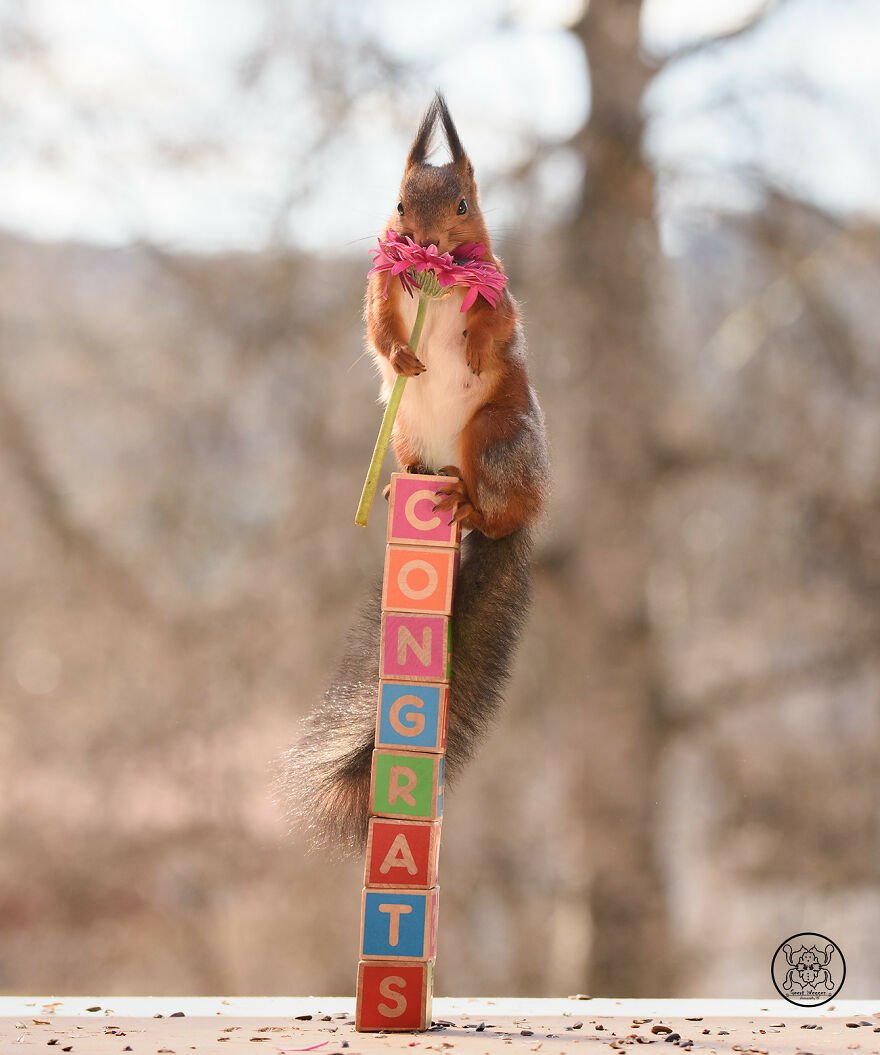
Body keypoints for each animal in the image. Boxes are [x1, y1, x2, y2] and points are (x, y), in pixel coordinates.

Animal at [279, 93, 549, 855]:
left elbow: (499, 322)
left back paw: (469, 505)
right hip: (402, 431)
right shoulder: (379, 284)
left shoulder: (499, 290)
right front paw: (404, 357)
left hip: (496, 440)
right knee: (420, 462)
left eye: (463, 203)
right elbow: (377, 325)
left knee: (497, 508)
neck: (436, 276)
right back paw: (413, 478)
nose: (423, 239)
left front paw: (479, 346)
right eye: (399, 202)